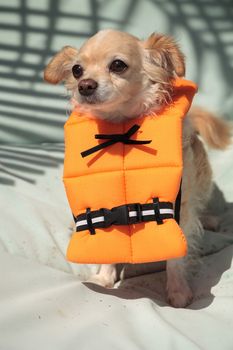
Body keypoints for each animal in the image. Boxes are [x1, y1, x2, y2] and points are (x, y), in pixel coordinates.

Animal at [44, 30, 231, 308]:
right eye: (77, 70)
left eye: (118, 65)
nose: (85, 85)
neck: (120, 125)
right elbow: (108, 239)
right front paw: (104, 277)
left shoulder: (178, 206)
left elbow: (177, 255)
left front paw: (178, 291)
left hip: (203, 178)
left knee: (200, 204)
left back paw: (209, 218)